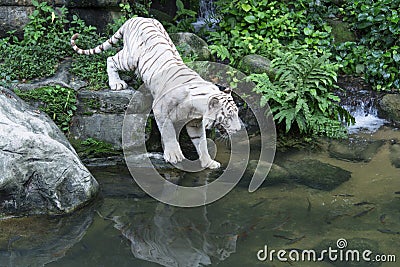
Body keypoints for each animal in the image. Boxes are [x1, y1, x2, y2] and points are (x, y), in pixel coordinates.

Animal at [70, 16, 241, 170]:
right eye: (228, 116)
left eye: (237, 113)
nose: (239, 130)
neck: (197, 109)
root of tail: (135, 18)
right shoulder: (160, 110)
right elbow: (169, 133)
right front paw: (174, 155)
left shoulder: (195, 123)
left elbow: (201, 143)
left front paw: (209, 163)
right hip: (130, 59)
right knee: (111, 59)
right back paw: (116, 83)